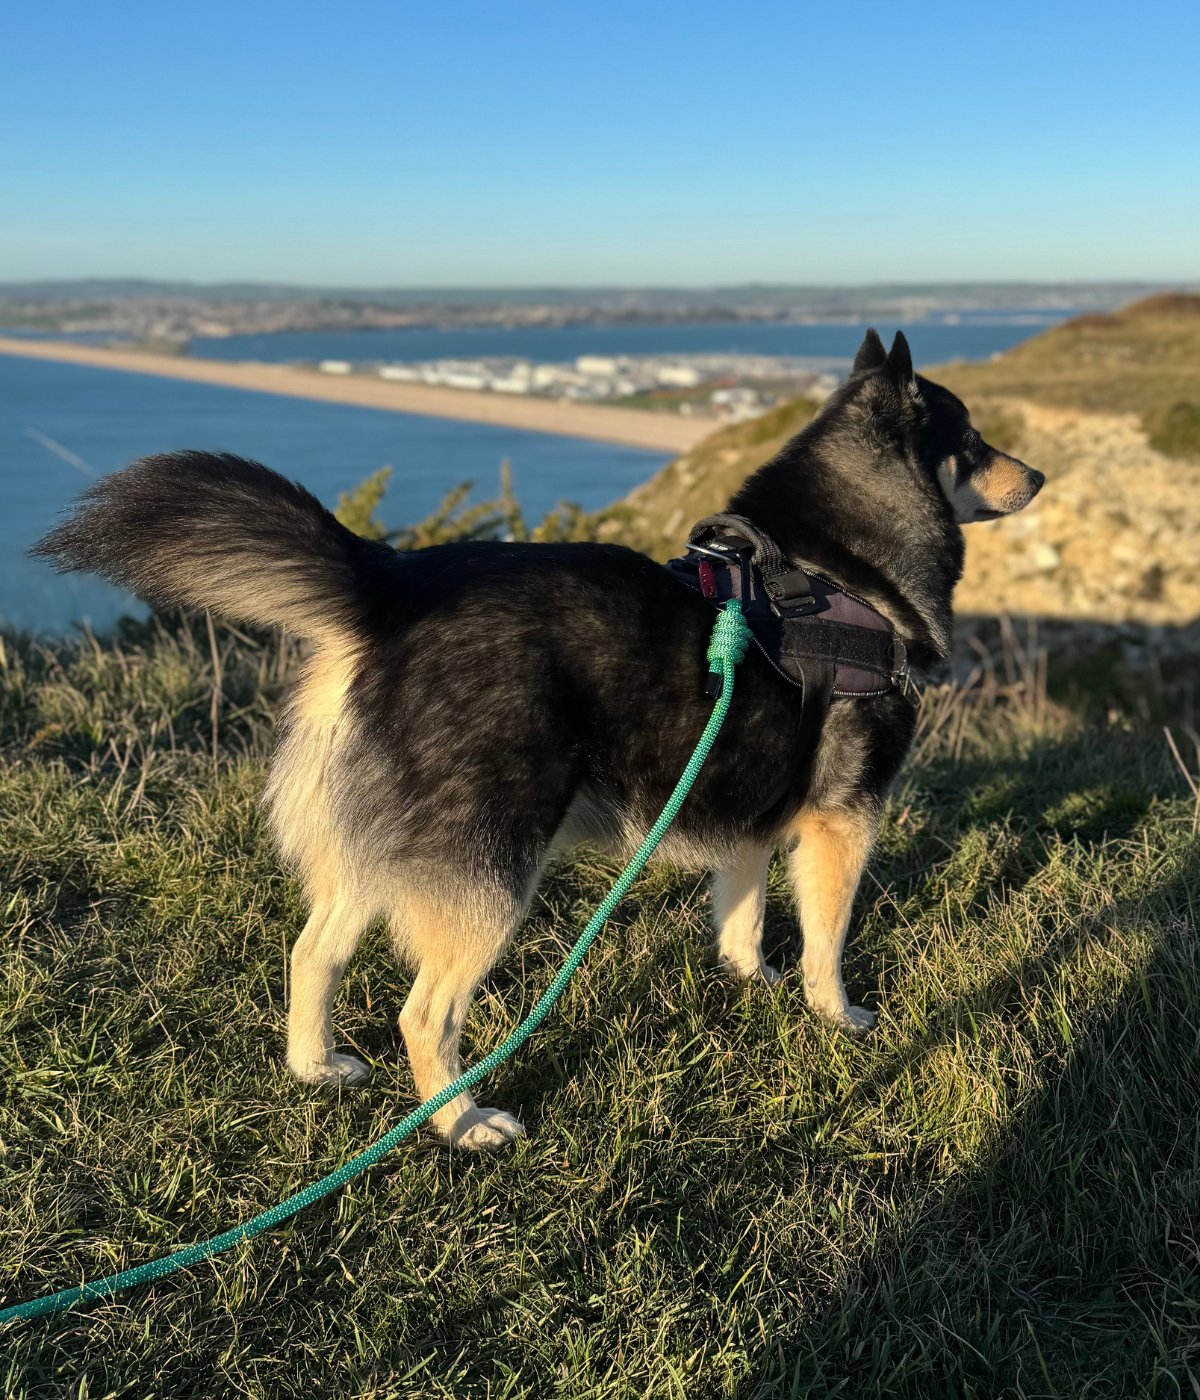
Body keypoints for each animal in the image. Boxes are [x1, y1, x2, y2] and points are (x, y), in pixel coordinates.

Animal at [34, 329, 1043, 1151]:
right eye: (972, 441)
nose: (1035, 477)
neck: (835, 570)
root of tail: (389, 588)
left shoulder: (745, 807)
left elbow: (744, 914)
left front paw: (746, 979)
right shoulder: (843, 821)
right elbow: (825, 943)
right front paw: (835, 1018)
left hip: (382, 847)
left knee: (311, 953)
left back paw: (315, 1067)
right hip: (491, 874)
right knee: (423, 1014)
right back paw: (460, 1124)